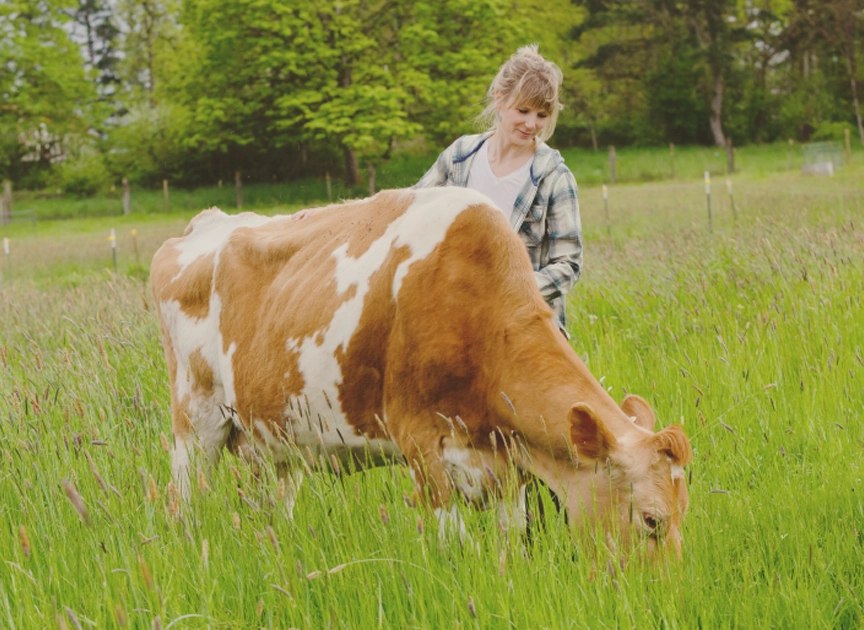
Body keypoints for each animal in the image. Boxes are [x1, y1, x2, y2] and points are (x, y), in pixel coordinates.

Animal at [150, 186, 692, 556]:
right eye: (651, 520)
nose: (663, 588)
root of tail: (207, 223)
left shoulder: (505, 464)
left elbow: (509, 539)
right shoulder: (422, 445)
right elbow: (455, 543)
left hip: (272, 438)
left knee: (269, 505)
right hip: (195, 422)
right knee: (183, 501)